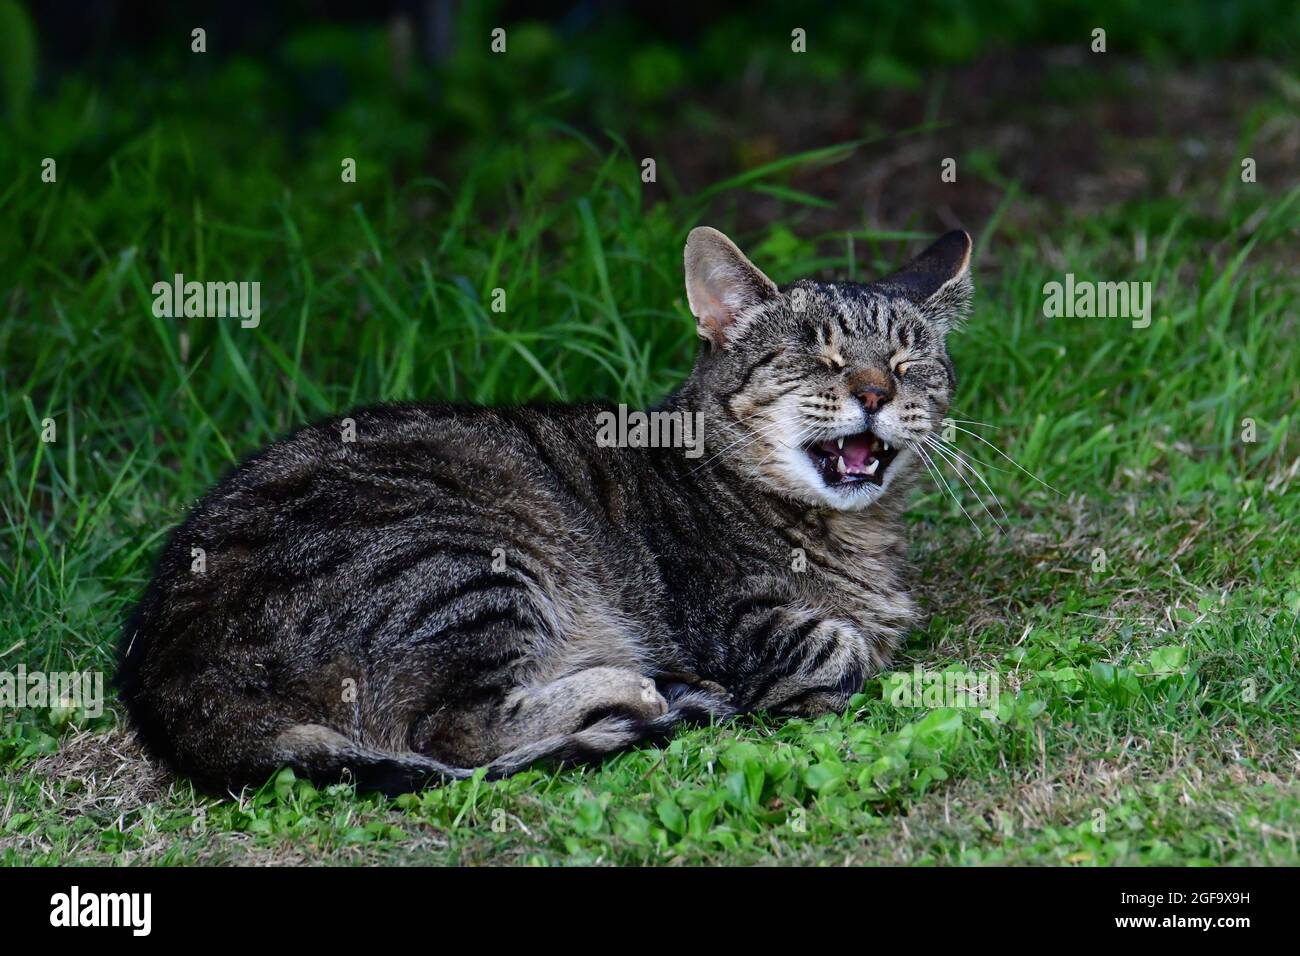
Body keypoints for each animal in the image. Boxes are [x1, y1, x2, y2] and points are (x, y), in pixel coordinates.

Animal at [119, 227, 977, 796]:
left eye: (909, 364)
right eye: (821, 358)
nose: (876, 392)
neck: (855, 532)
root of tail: (165, 674)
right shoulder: (738, 624)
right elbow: (843, 652)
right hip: (465, 564)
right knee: (458, 734)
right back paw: (637, 688)